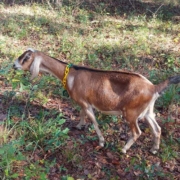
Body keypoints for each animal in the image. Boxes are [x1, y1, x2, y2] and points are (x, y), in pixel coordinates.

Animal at [13, 48, 180, 154]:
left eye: (26, 58)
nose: (14, 65)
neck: (70, 74)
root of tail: (153, 87)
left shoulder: (87, 104)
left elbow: (94, 121)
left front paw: (101, 142)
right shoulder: (82, 102)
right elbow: (81, 114)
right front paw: (79, 126)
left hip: (131, 113)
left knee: (137, 132)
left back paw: (124, 149)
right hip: (147, 111)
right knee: (157, 128)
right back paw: (154, 149)